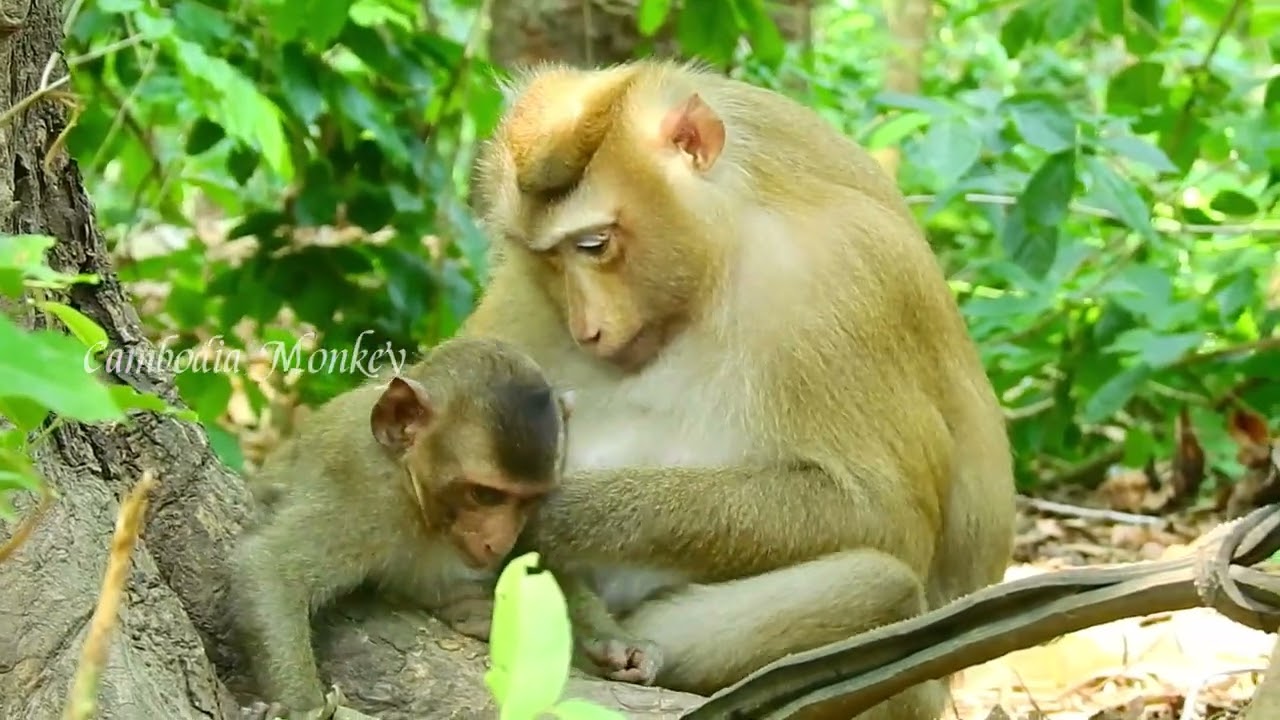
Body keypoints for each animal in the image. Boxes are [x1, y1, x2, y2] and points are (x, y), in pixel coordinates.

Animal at [228, 336, 576, 718]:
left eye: (529, 500)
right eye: (484, 495)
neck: (411, 486)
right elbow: (271, 569)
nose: (498, 542)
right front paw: (304, 707)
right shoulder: (366, 490)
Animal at [459, 58, 1017, 719]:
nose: (586, 328)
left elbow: (883, 512)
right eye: (544, 258)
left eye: (594, 244)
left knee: (883, 589)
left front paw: (560, 515)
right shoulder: (526, 291)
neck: (722, 254)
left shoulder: (846, 274)